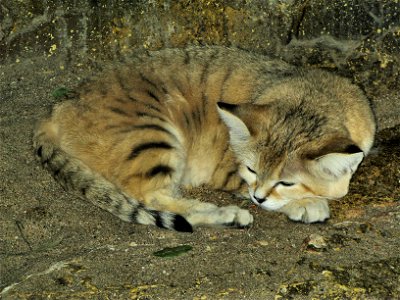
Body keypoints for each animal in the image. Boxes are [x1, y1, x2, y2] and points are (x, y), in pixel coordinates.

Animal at [33, 46, 376, 232]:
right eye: (251, 170)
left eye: (286, 181)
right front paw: (308, 203)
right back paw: (226, 215)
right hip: (152, 135)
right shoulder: (229, 172)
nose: (258, 199)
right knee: (153, 197)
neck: (309, 97)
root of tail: (59, 107)